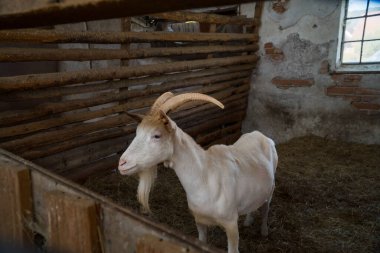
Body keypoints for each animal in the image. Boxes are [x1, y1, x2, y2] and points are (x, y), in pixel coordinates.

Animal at [120, 92, 278, 253]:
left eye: (157, 135)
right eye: (137, 133)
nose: (122, 163)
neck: (205, 177)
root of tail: (262, 135)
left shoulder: (231, 223)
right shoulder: (199, 221)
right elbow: (201, 240)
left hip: (271, 189)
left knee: (266, 208)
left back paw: (264, 231)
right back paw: (248, 220)